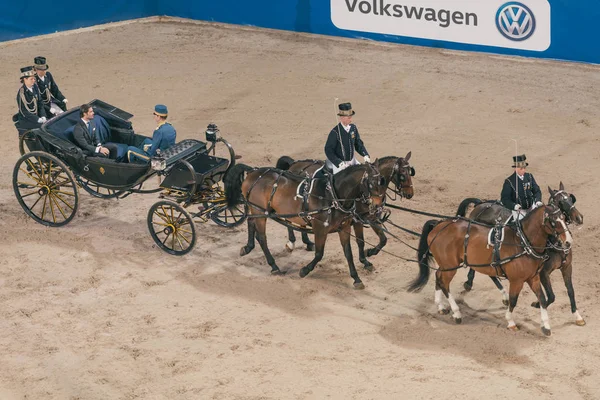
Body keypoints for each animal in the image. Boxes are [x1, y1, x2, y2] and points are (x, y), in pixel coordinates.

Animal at [223, 161, 386, 290]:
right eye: (372, 183)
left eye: (383, 183)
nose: (378, 207)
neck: (332, 196)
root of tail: (253, 171)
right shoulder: (321, 229)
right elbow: (319, 254)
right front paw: (304, 270)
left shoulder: (344, 228)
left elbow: (348, 253)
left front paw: (356, 278)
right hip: (260, 211)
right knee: (262, 238)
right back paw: (274, 266)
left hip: (256, 210)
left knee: (250, 223)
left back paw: (248, 247)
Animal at [276, 152, 412, 268]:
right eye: (402, 174)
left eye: (411, 172)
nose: (410, 193)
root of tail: (294, 164)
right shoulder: (358, 221)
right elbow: (360, 241)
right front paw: (365, 259)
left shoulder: (371, 218)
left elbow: (383, 239)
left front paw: (369, 253)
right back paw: (291, 243)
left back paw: (307, 242)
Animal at [408, 192, 572, 336]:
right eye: (553, 221)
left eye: (563, 218)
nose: (568, 242)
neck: (523, 242)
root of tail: (438, 224)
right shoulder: (516, 280)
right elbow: (513, 300)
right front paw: (510, 322)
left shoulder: (533, 278)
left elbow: (542, 299)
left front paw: (546, 326)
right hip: (450, 267)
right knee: (444, 283)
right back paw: (456, 313)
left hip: (446, 265)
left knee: (438, 276)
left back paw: (441, 306)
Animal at [458, 181, 584, 324]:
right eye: (560, 202)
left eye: (570, 198)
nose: (579, 217)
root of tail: (481, 204)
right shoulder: (543, 273)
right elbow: (551, 296)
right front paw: (537, 304)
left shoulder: (567, 267)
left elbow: (570, 291)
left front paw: (577, 315)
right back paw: (472, 284)